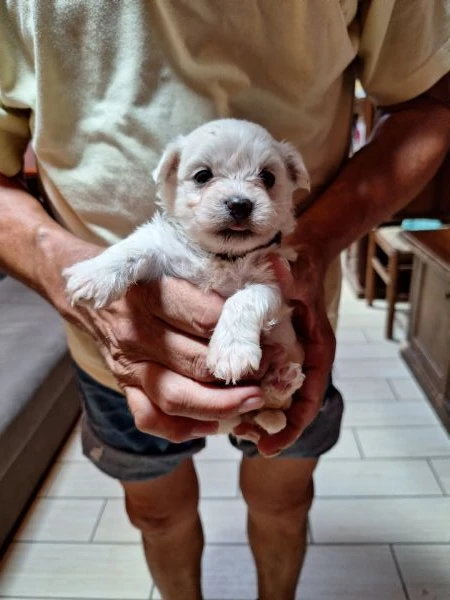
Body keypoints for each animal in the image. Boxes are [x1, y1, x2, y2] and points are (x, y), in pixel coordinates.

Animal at [63, 118, 310, 436]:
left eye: (268, 178)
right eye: (203, 176)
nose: (239, 204)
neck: (222, 256)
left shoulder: (273, 281)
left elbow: (245, 299)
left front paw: (231, 350)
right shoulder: (169, 253)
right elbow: (137, 245)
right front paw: (95, 273)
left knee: (272, 407)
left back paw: (280, 382)